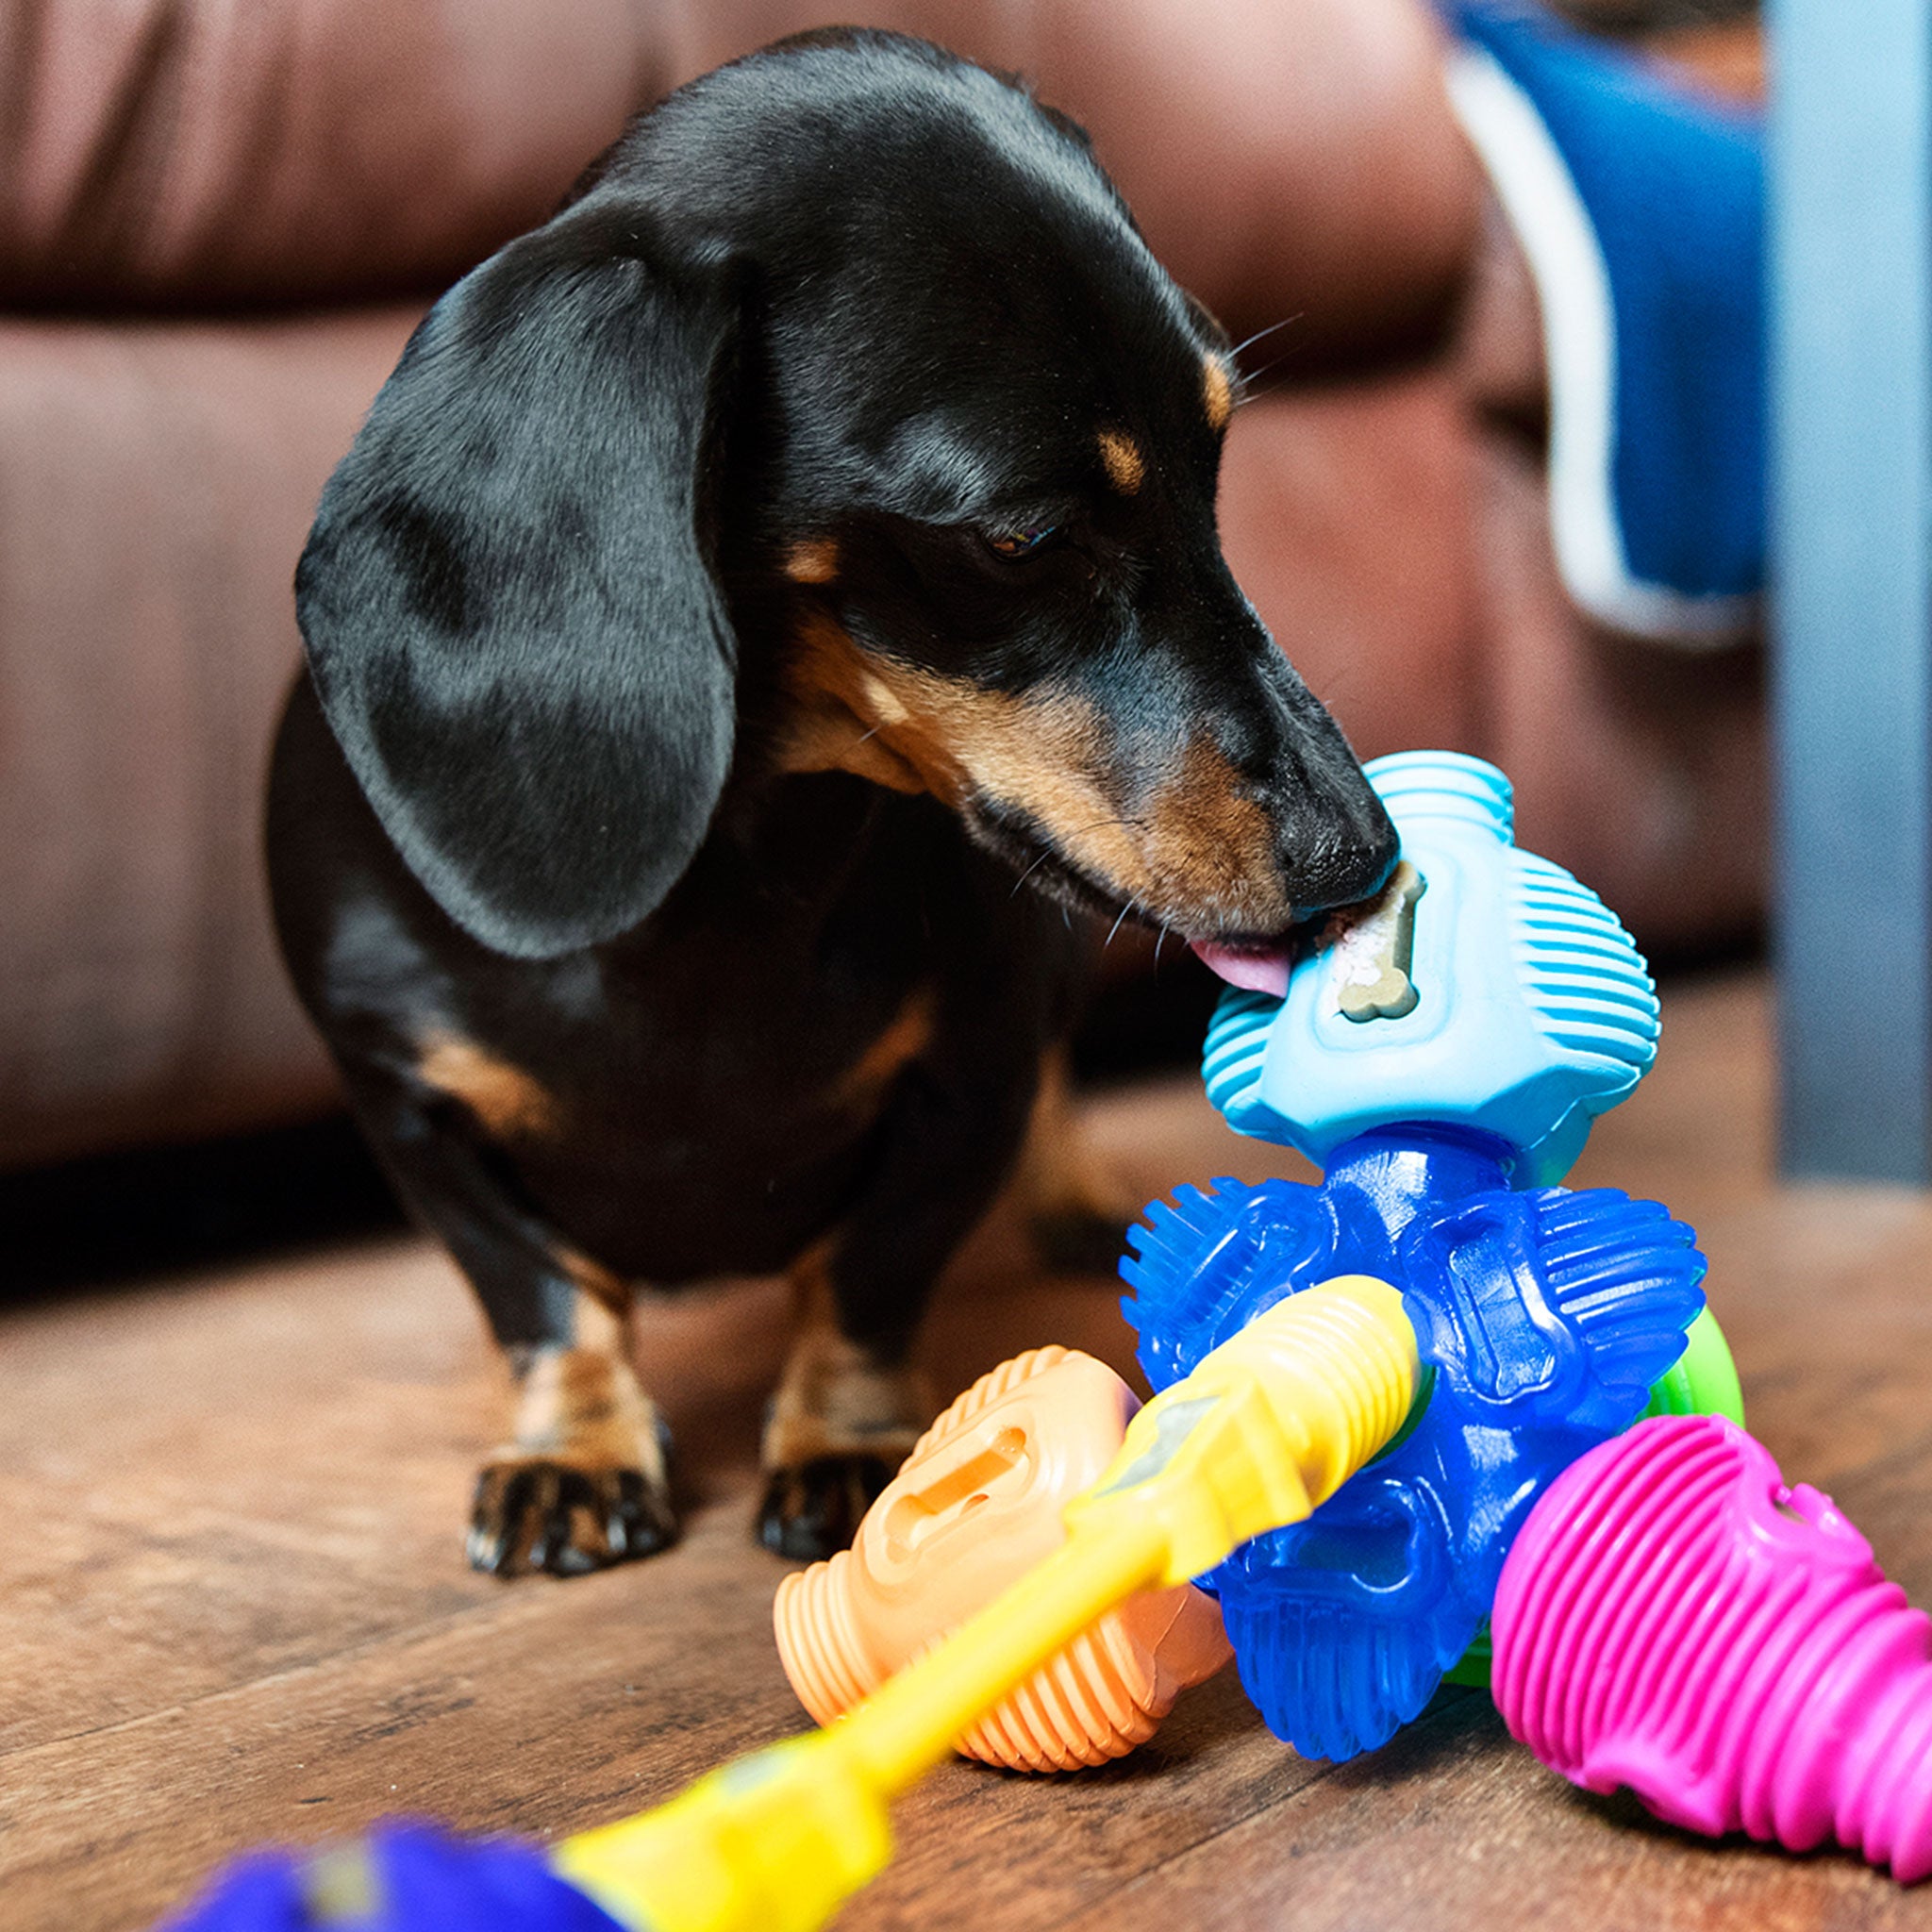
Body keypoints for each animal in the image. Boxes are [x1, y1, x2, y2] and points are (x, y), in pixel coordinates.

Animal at [264, 26, 1398, 1568]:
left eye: (1213, 463)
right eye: (1016, 536)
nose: (1363, 854)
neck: (714, 906)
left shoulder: (970, 1067)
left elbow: (871, 1268)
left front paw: (858, 1443)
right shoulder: (407, 1097)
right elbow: (539, 1291)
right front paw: (573, 1447)